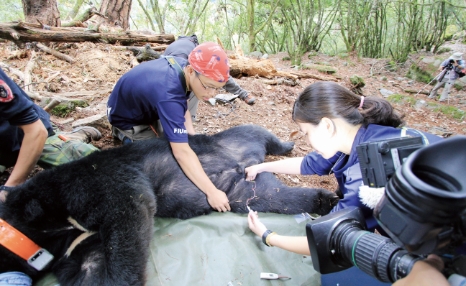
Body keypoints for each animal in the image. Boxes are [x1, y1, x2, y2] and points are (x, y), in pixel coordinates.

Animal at [0, 125, 336, 286]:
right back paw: (325, 199)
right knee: (278, 196)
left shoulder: (83, 183)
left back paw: (290, 145)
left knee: (260, 133)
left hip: (231, 138)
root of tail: (242, 163)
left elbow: (128, 206)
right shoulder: (75, 245)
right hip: (243, 192)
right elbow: (90, 269)